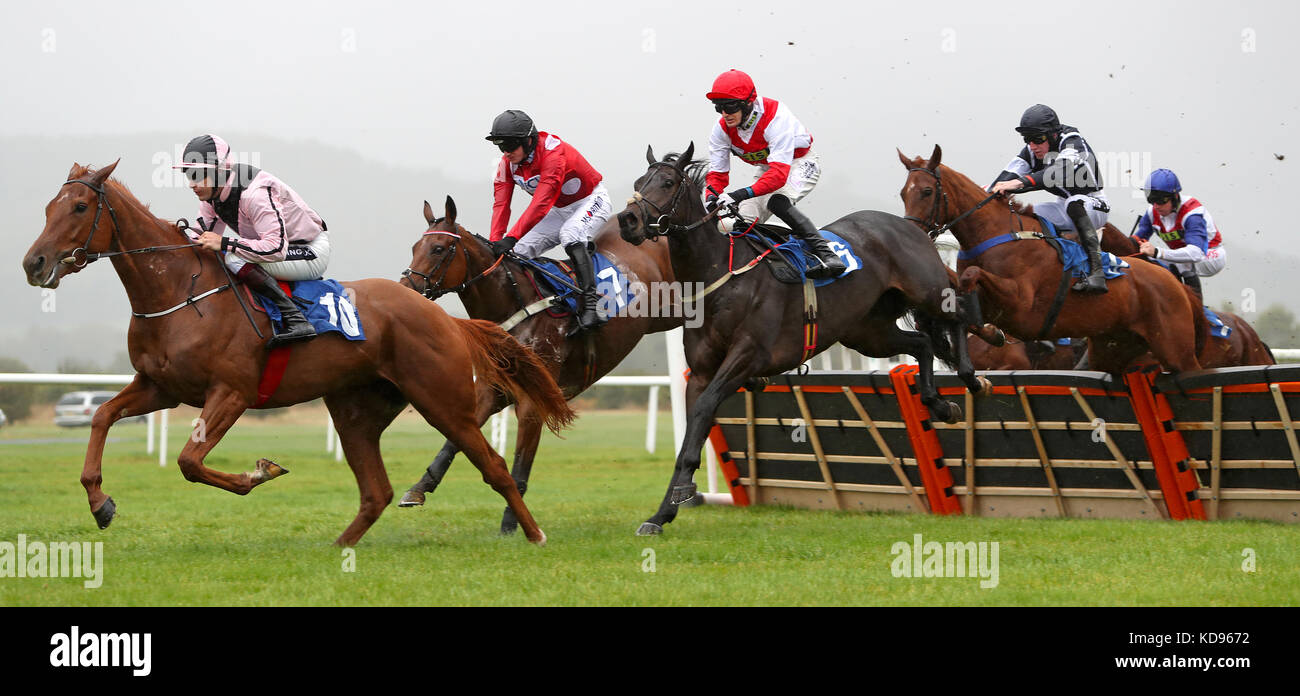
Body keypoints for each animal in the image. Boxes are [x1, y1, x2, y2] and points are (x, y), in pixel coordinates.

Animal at [21, 161, 574, 543]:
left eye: (79, 208)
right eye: (48, 207)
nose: (34, 263)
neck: (180, 291)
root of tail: (445, 316)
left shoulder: (232, 392)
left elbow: (189, 461)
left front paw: (260, 471)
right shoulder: (160, 387)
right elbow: (102, 418)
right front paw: (100, 502)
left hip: (444, 401)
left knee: (494, 467)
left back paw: (534, 534)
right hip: (356, 411)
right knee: (376, 491)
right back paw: (339, 547)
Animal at [395, 196, 681, 533]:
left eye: (438, 249)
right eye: (415, 247)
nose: (406, 289)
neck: (515, 303)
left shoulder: (534, 398)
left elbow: (520, 465)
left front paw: (511, 525)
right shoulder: (493, 390)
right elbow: (456, 438)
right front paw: (419, 489)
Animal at [618, 140, 982, 533]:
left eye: (668, 182)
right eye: (639, 181)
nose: (628, 221)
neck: (720, 277)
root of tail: (907, 225)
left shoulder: (748, 358)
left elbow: (703, 410)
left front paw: (680, 493)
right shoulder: (701, 372)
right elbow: (691, 430)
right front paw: (662, 513)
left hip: (927, 290)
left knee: (958, 310)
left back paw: (972, 377)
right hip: (867, 332)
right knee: (923, 343)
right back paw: (939, 404)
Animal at [899, 145, 1201, 374]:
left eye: (927, 191)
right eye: (903, 193)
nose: (911, 233)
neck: (997, 233)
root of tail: (1173, 282)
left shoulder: (1021, 306)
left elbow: (971, 275)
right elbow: (958, 281)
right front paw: (980, 331)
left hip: (1175, 350)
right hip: (1112, 348)